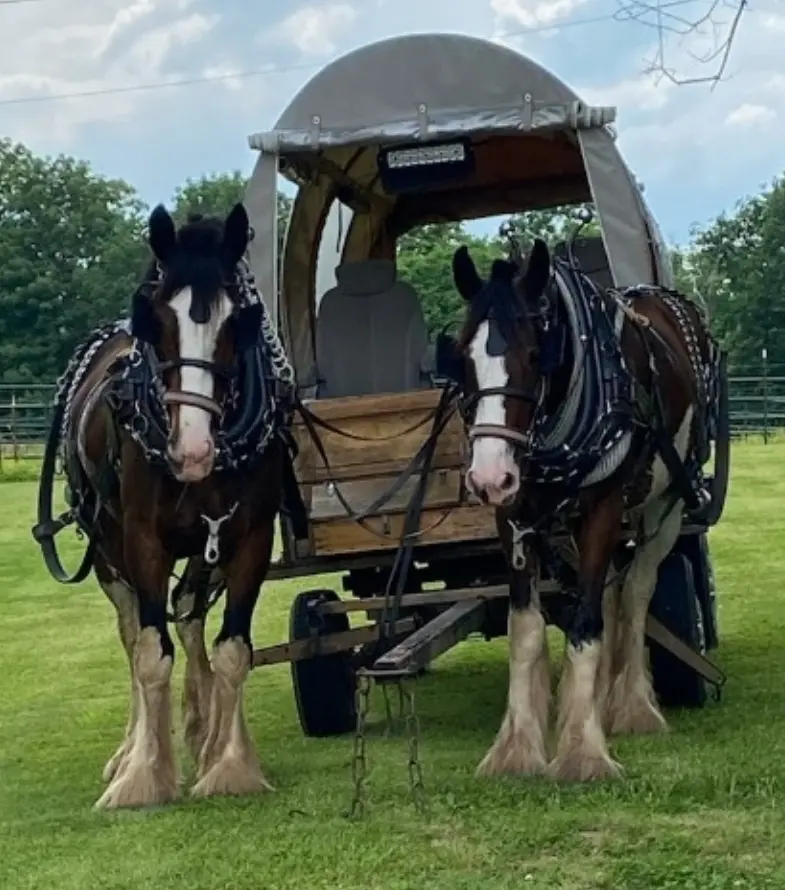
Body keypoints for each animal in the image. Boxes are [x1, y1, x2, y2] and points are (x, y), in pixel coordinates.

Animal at [33, 203, 290, 804]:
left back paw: (202, 732)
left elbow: (232, 649)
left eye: (237, 321)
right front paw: (143, 775)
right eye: (156, 320)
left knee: (190, 616)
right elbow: (150, 654)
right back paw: (131, 750)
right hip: (108, 551)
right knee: (133, 636)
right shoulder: (143, 541)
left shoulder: (250, 537)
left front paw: (229, 764)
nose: (191, 451)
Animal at [450, 239, 720, 780]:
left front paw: (582, 752)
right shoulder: (513, 519)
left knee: (635, 592)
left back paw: (633, 706)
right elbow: (526, 629)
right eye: (463, 357)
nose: (488, 477)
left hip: (664, 506)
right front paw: (517, 749)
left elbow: (587, 624)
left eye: (535, 354)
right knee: (614, 594)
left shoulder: (602, 510)